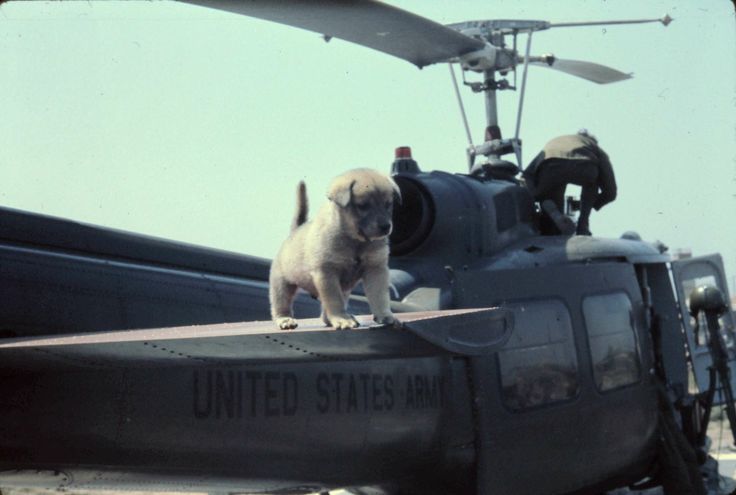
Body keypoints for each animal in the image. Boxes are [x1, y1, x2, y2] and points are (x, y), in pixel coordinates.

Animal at [269, 168, 401, 330]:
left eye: (388, 204)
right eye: (363, 206)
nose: (386, 226)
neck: (355, 242)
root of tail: (294, 232)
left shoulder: (376, 270)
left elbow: (380, 296)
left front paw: (385, 315)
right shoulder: (327, 274)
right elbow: (334, 301)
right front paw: (342, 319)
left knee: (325, 313)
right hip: (282, 285)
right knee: (281, 305)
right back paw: (285, 319)